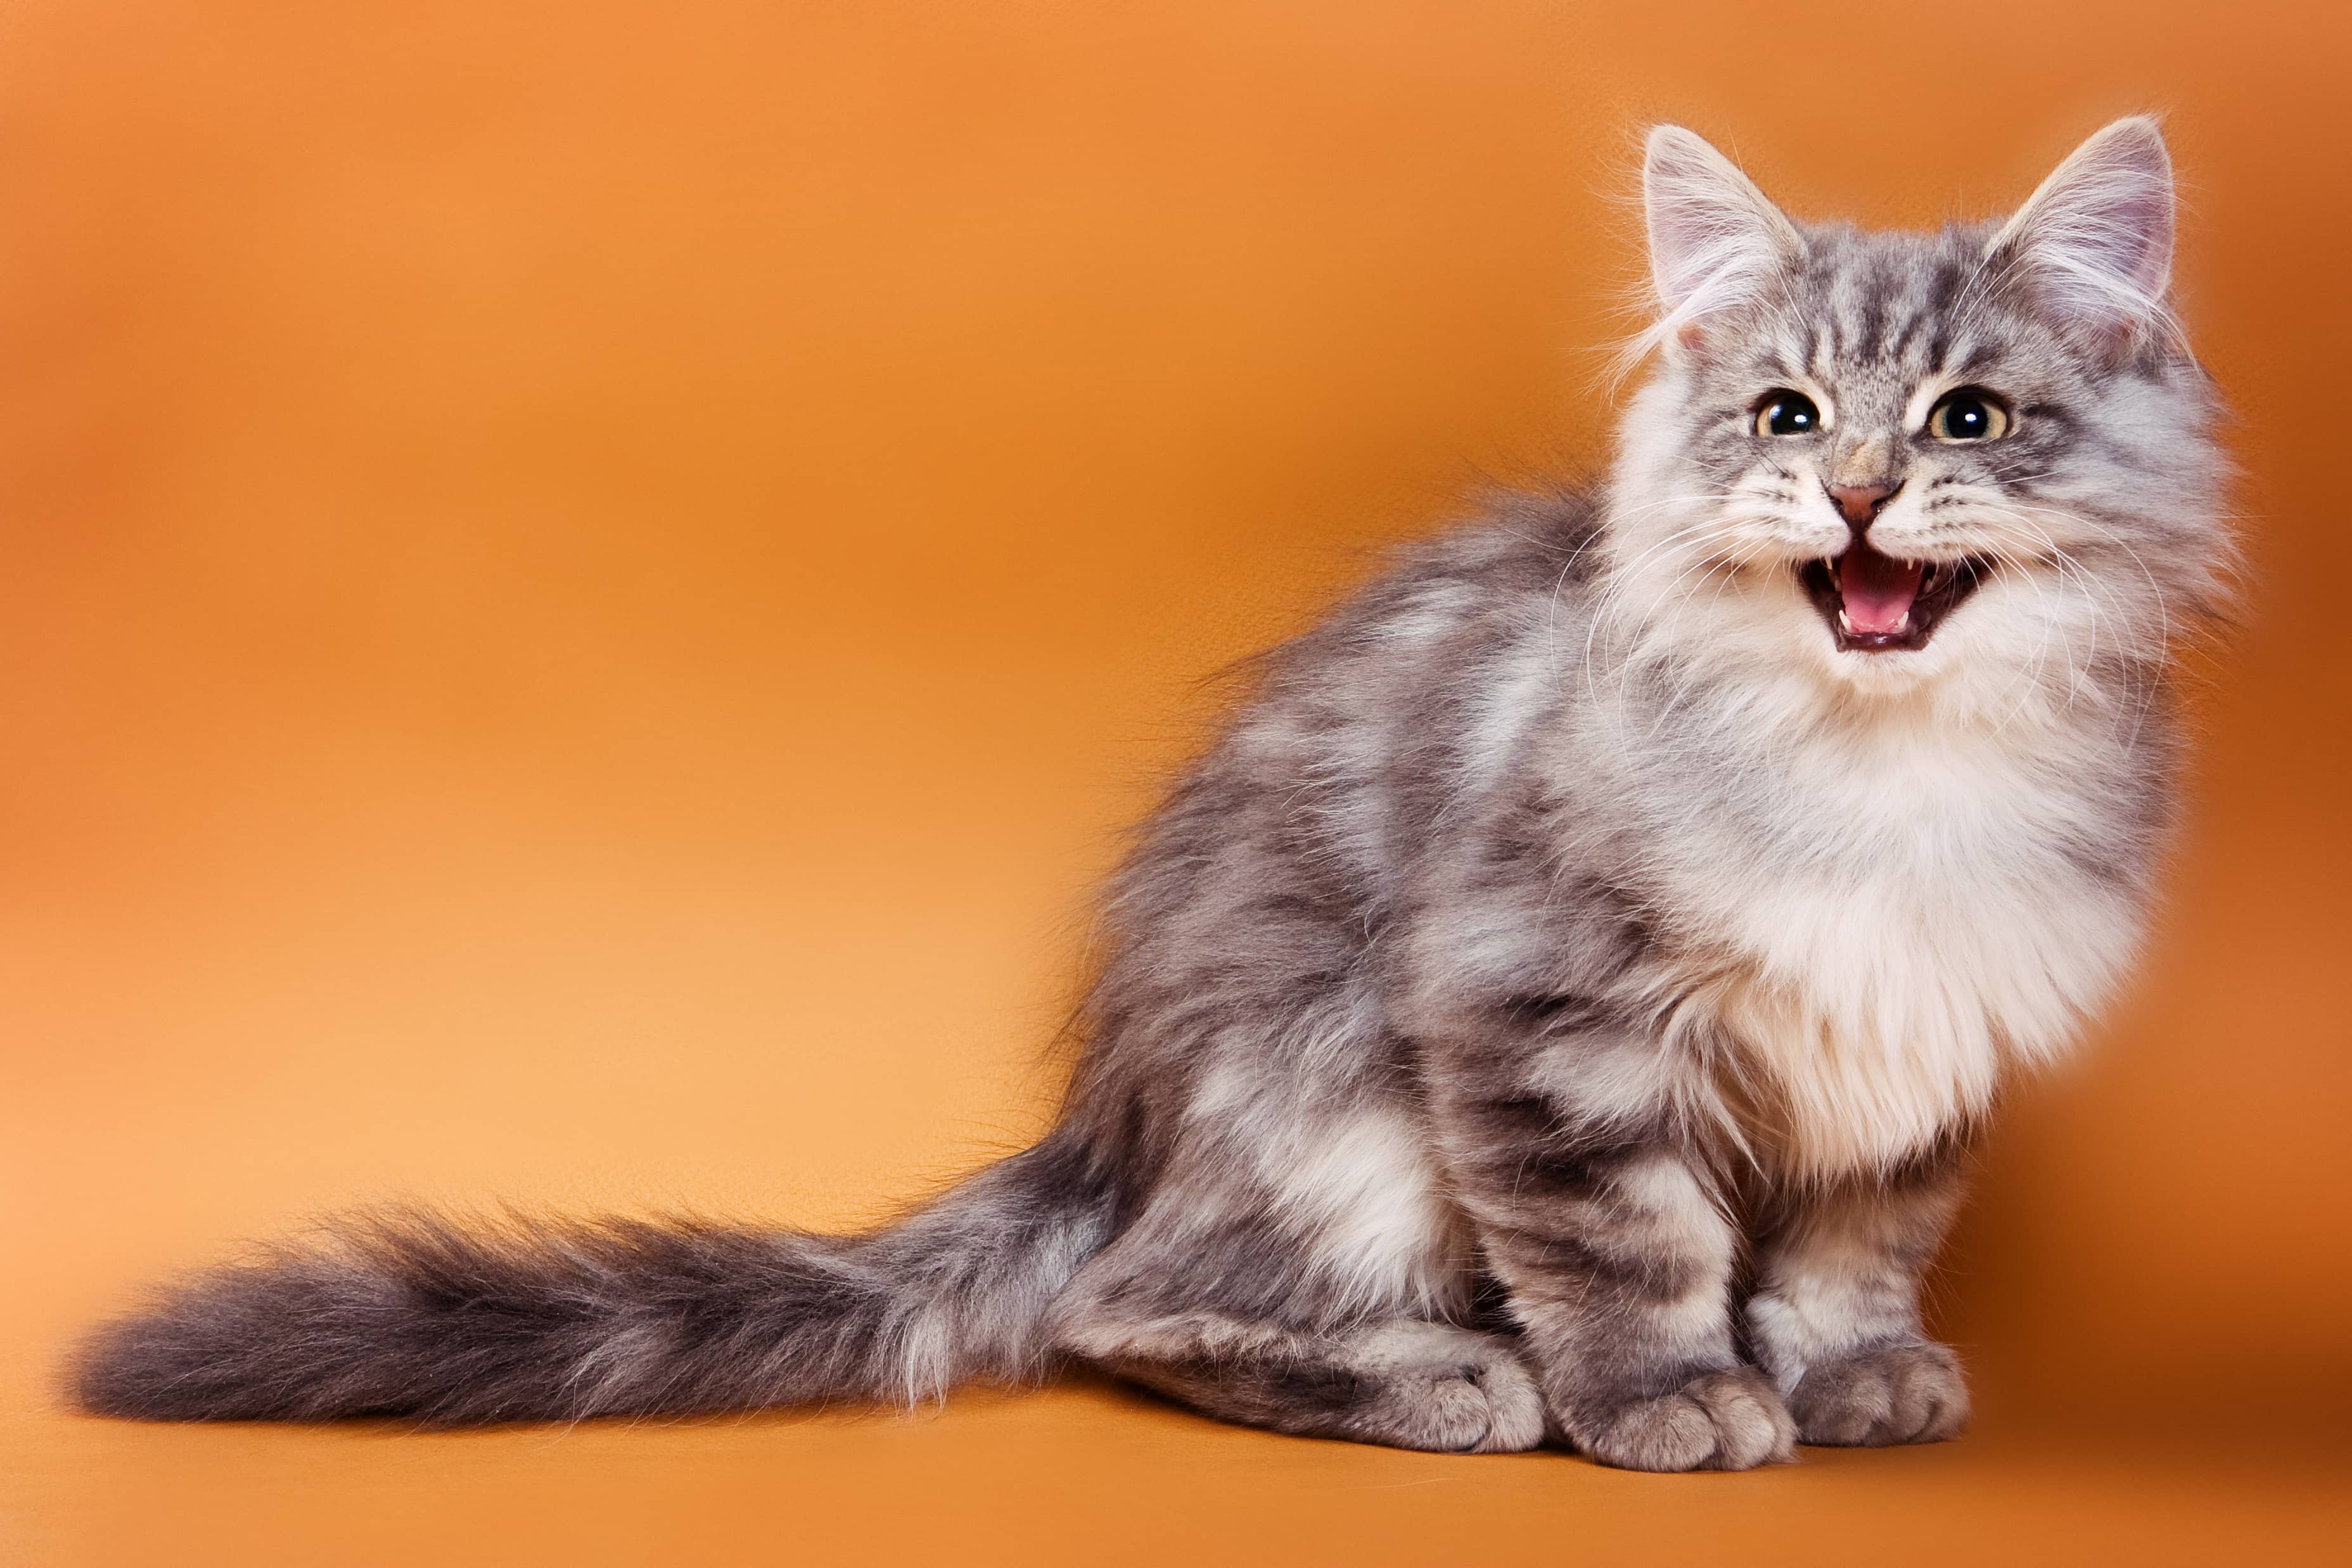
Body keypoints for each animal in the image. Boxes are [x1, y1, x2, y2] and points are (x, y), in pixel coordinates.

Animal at [74, 120, 2229, 1476]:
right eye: (1787, 415)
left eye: (1963, 420)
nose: (1855, 491)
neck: (1887, 759)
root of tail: (1103, 1124)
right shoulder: (1530, 1012)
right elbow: (1631, 1246)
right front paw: (1668, 1399)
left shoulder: (1928, 1042)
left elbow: (1854, 1246)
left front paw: (1851, 1373)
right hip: (1336, 1095)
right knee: (1136, 1311)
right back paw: (1459, 1381)